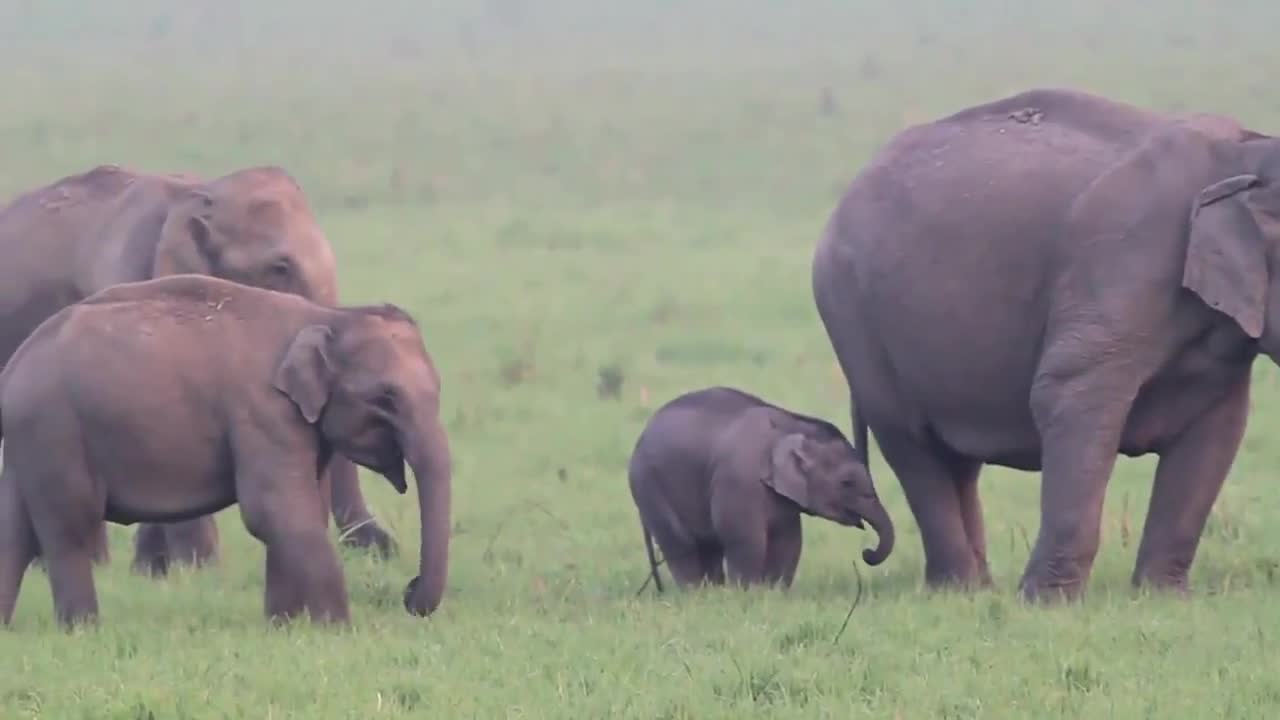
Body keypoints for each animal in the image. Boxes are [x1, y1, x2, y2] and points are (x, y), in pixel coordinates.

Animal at [0, 271, 455, 625]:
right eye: (386, 398)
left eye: (438, 389)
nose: (408, 592)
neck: (325, 318)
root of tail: (14, 367)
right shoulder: (262, 412)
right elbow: (275, 509)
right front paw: (337, 630)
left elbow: (298, 509)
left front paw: (284, 627)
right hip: (55, 431)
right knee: (70, 528)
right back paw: (83, 629)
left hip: (31, 441)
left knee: (15, 531)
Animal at [627, 386, 890, 589]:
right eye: (846, 482)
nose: (866, 553)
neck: (790, 423)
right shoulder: (738, 481)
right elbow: (747, 538)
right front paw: (747, 594)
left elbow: (789, 540)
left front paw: (773, 593)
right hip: (648, 487)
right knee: (681, 544)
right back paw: (695, 594)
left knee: (709, 547)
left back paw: (713, 593)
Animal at [814, 85, 1280, 599]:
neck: (1247, 150)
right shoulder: (1129, 253)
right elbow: (1070, 393)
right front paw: (1046, 603)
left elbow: (1218, 427)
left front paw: (1163, 598)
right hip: (852, 315)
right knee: (912, 442)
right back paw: (960, 590)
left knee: (956, 459)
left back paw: (974, 593)